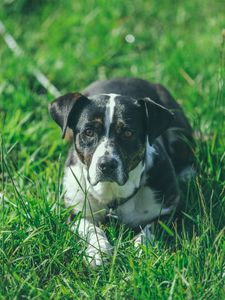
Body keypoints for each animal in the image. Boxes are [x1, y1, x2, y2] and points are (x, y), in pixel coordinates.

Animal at [49, 77, 195, 268]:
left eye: (128, 133)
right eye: (88, 132)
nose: (106, 164)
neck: (112, 193)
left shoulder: (172, 210)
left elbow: (151, 228)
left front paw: (141, 247)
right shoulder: (76, 211)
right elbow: (91, 228)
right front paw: (98, 251)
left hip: (178, 130)